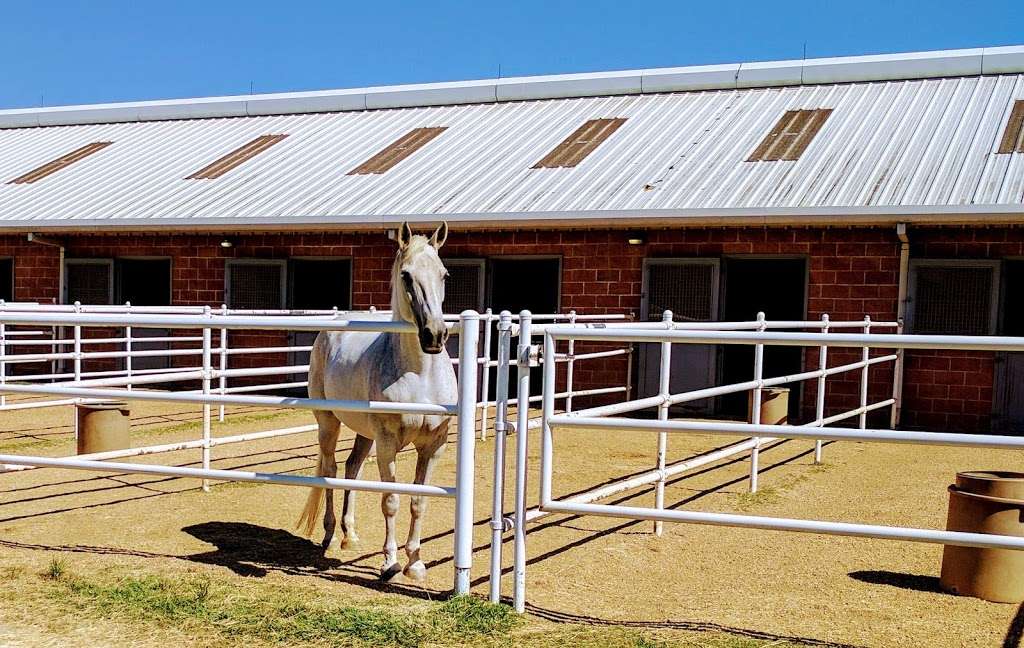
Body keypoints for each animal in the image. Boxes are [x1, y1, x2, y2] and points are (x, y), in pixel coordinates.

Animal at [296, 222, 456, 581]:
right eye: (407, 276)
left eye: (444, 274)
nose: (435, 335)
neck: (420, 375)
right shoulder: (387, 443)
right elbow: (391, 501)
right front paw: (390, 563)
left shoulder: (435, 444)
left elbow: (419, 502)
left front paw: (416, 564)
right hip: (329, 423)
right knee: (331, 469)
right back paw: (329, 536)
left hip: (363, 433)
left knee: (352, 468)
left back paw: (349, 535)